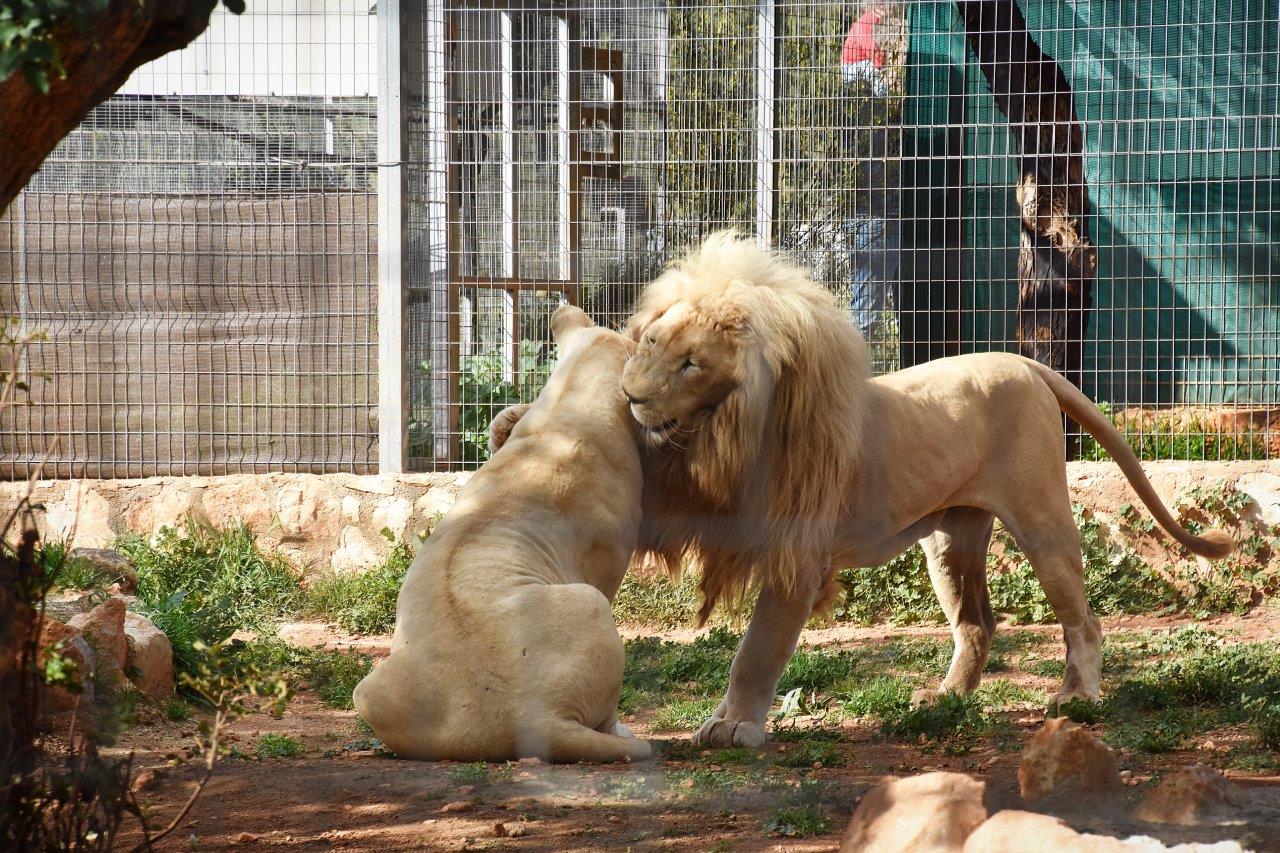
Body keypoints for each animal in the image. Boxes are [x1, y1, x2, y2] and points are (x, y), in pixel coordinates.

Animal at [353, 308, 655, 758]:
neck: (570, 400)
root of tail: (530, 718)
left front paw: (505, 423)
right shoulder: (608, 561)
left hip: (368, 690)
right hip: (591, 601)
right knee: (606, 715)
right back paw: (623, 733)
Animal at [619, 230, 1228, 742]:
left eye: (691, 364)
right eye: (650, 341)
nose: (630, 396)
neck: (728, 430)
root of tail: (1028, 365)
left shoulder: (799, 556)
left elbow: (756, 651)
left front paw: (734, 726)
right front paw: (725, 719)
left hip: (1041, 517)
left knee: (1083, 618)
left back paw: (1076, 698)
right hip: (951, 540)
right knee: (978, 623)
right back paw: (944, 702)